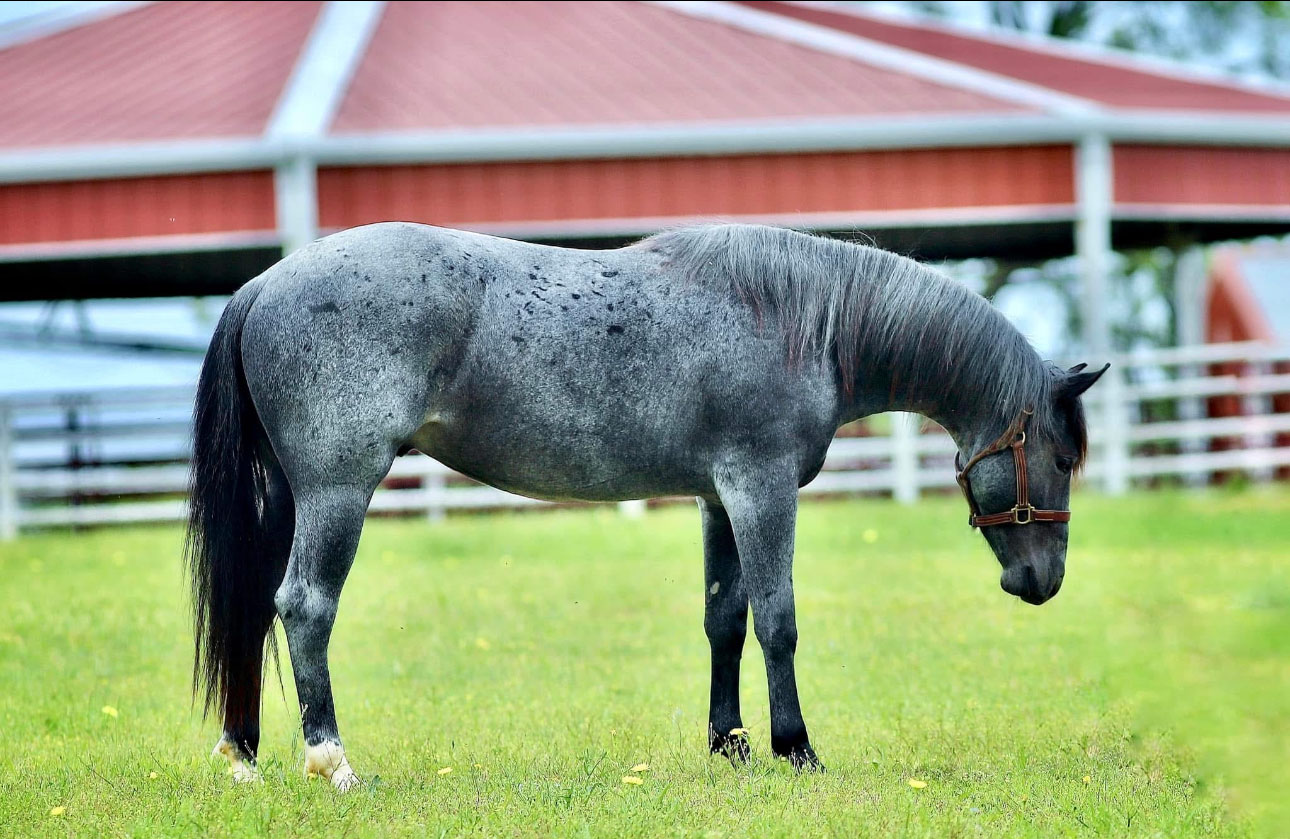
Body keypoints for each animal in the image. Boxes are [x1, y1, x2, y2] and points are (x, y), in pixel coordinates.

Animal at [187, 222, 1106, 788]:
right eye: (1062, 456)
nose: (1044, 580)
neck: (801, 321)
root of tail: (266, 282)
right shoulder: (760, 487)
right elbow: (778, 619)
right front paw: (796, 748)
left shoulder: (717, 498)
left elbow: (724, 619)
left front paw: (731, 745)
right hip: (338, 490)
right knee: (306, 606)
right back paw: (331, 760)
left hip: (288, 497)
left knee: (257, 607)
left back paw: (245, 754)